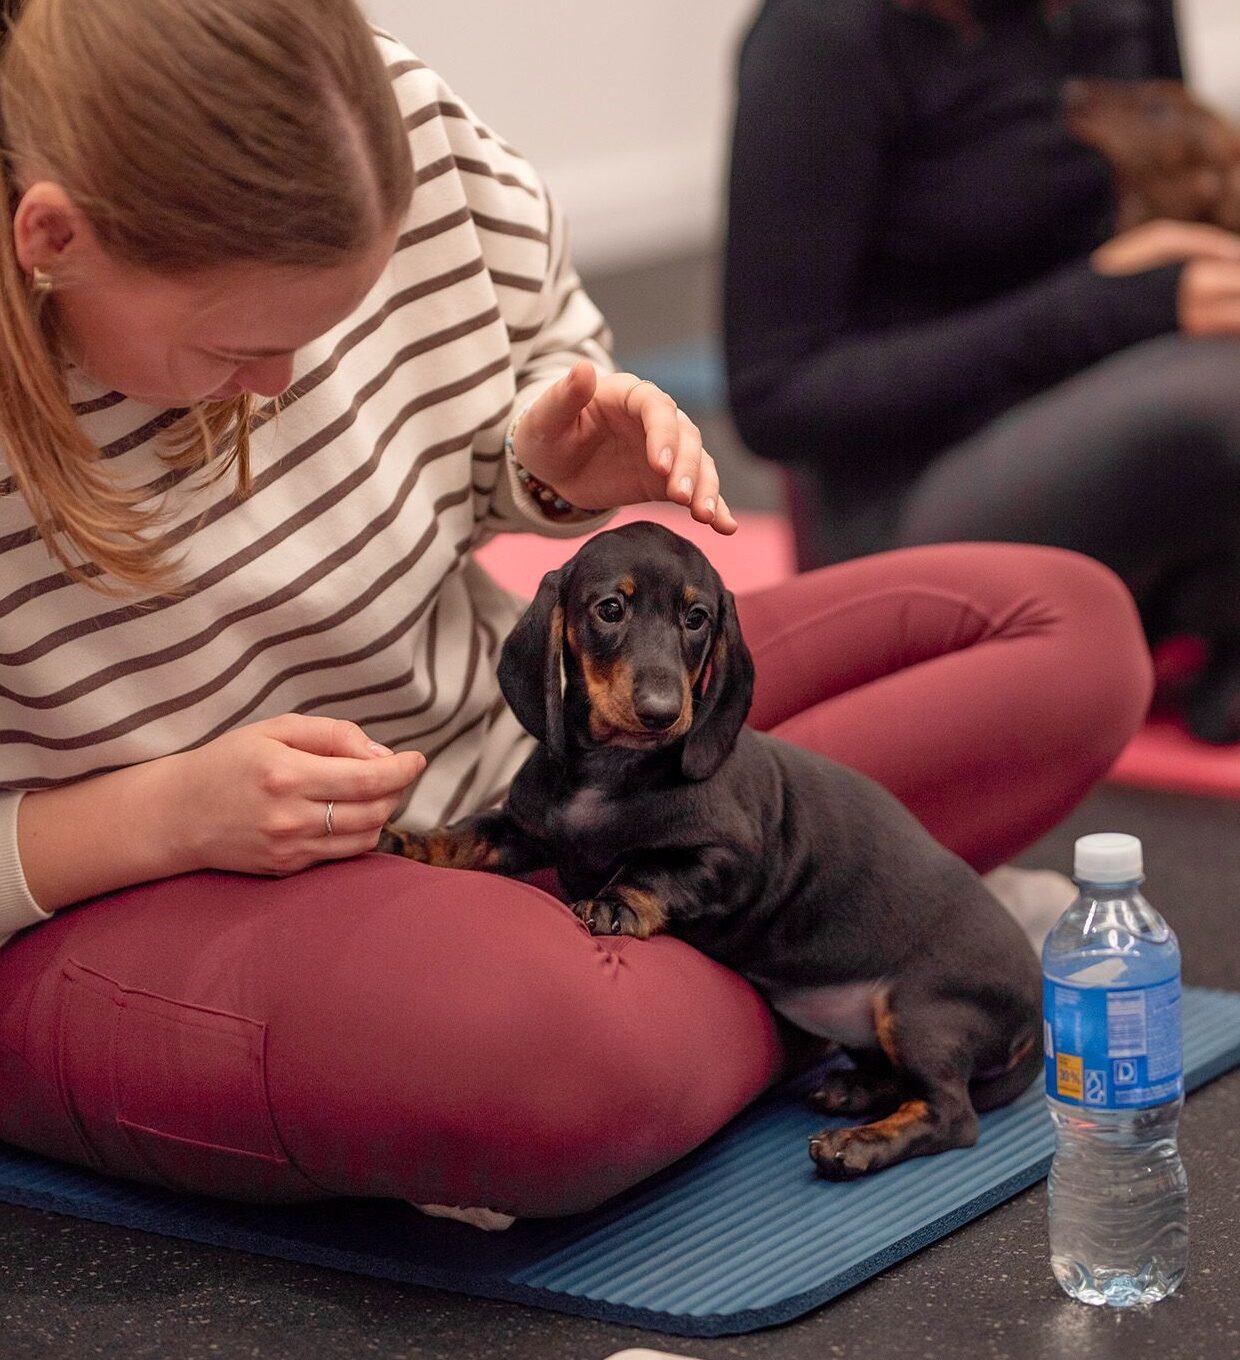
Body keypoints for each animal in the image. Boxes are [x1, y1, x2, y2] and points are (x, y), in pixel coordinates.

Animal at [383, 519, 1038, 1180]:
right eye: (610, 609)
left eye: (696, 618)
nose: (662, 713)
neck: (613, 771)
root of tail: (1035, 1007)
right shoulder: (525, 829)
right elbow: (468, 834)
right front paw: (406, 839)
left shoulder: (733, 863)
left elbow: (653, 867)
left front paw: (615, 902)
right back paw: (854, 1091)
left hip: (922, 1008)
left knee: (951, 1113)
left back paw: (858, 1144)